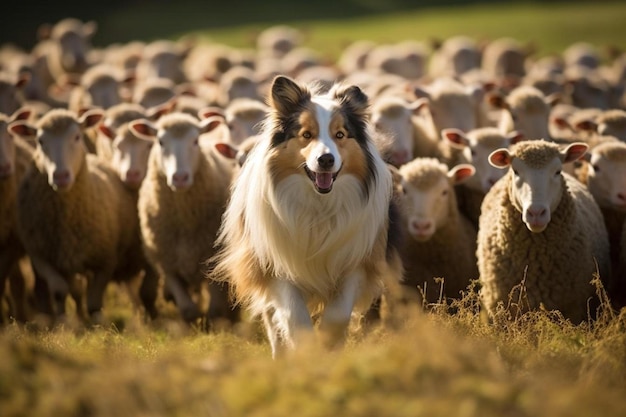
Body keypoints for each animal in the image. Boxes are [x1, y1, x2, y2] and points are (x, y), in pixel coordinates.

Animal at [11, 106, 146, 322]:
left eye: (76, 136)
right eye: (40, 141)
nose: (60, 176)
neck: (65, 219)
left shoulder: (105, 261)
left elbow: (94, 302)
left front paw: (98, 324)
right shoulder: (41, 257)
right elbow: (59, 291)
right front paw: (63, 324)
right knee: (74, 289)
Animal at [130, 110, 240, 324]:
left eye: (195, 141)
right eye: (160, 142)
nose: (179, 177)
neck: (184, 220)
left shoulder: (212, 258)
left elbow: (214, 310)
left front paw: (213, 325)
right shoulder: (166, 261)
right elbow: (188, 310)